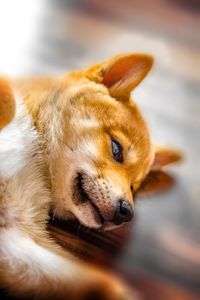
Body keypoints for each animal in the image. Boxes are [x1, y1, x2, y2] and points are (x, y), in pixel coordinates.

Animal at [0, 54, 180, 300]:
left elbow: (98, 283)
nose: (127, 212)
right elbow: (9, 98)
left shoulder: (13, 239)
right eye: (116, 149)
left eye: (133, 187)